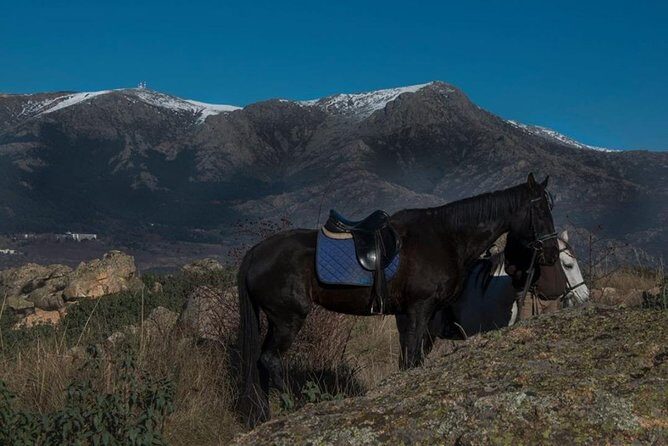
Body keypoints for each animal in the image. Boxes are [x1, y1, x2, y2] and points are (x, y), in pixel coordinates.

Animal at [237, 173, 560, 425]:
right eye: (540, 210)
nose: (552, 254)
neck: (445, 237)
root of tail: (255, 253)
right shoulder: (419, 309)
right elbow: (412, 360)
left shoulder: (413, 315)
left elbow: (409, 361)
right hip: (288, 318)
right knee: (270, 360)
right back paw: (295, 406)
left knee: (261, 363)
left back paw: (264, 416)